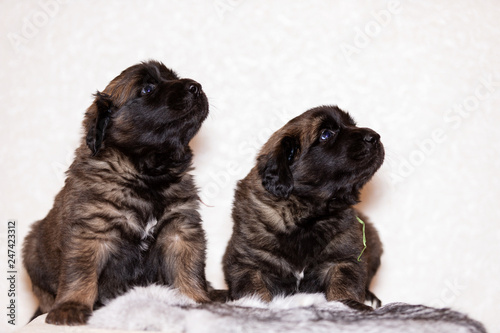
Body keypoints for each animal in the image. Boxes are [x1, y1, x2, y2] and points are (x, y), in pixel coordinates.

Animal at [23, 60, 210, 324]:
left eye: (173, 77)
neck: (146, 174)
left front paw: (198, 300)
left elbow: (188, 269)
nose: (196, 87)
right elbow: (80, 273)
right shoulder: (91, 232)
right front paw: (71, 306)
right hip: (31, 248)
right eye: (147, 89)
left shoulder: (180, 230)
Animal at [225, 105, 384, 308]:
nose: (375, 136)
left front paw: (349, 303)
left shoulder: (343, 258)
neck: (304, 215)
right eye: (326, 134)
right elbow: (254, 291)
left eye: (352, 124)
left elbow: (344, 285)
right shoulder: (248, 263)